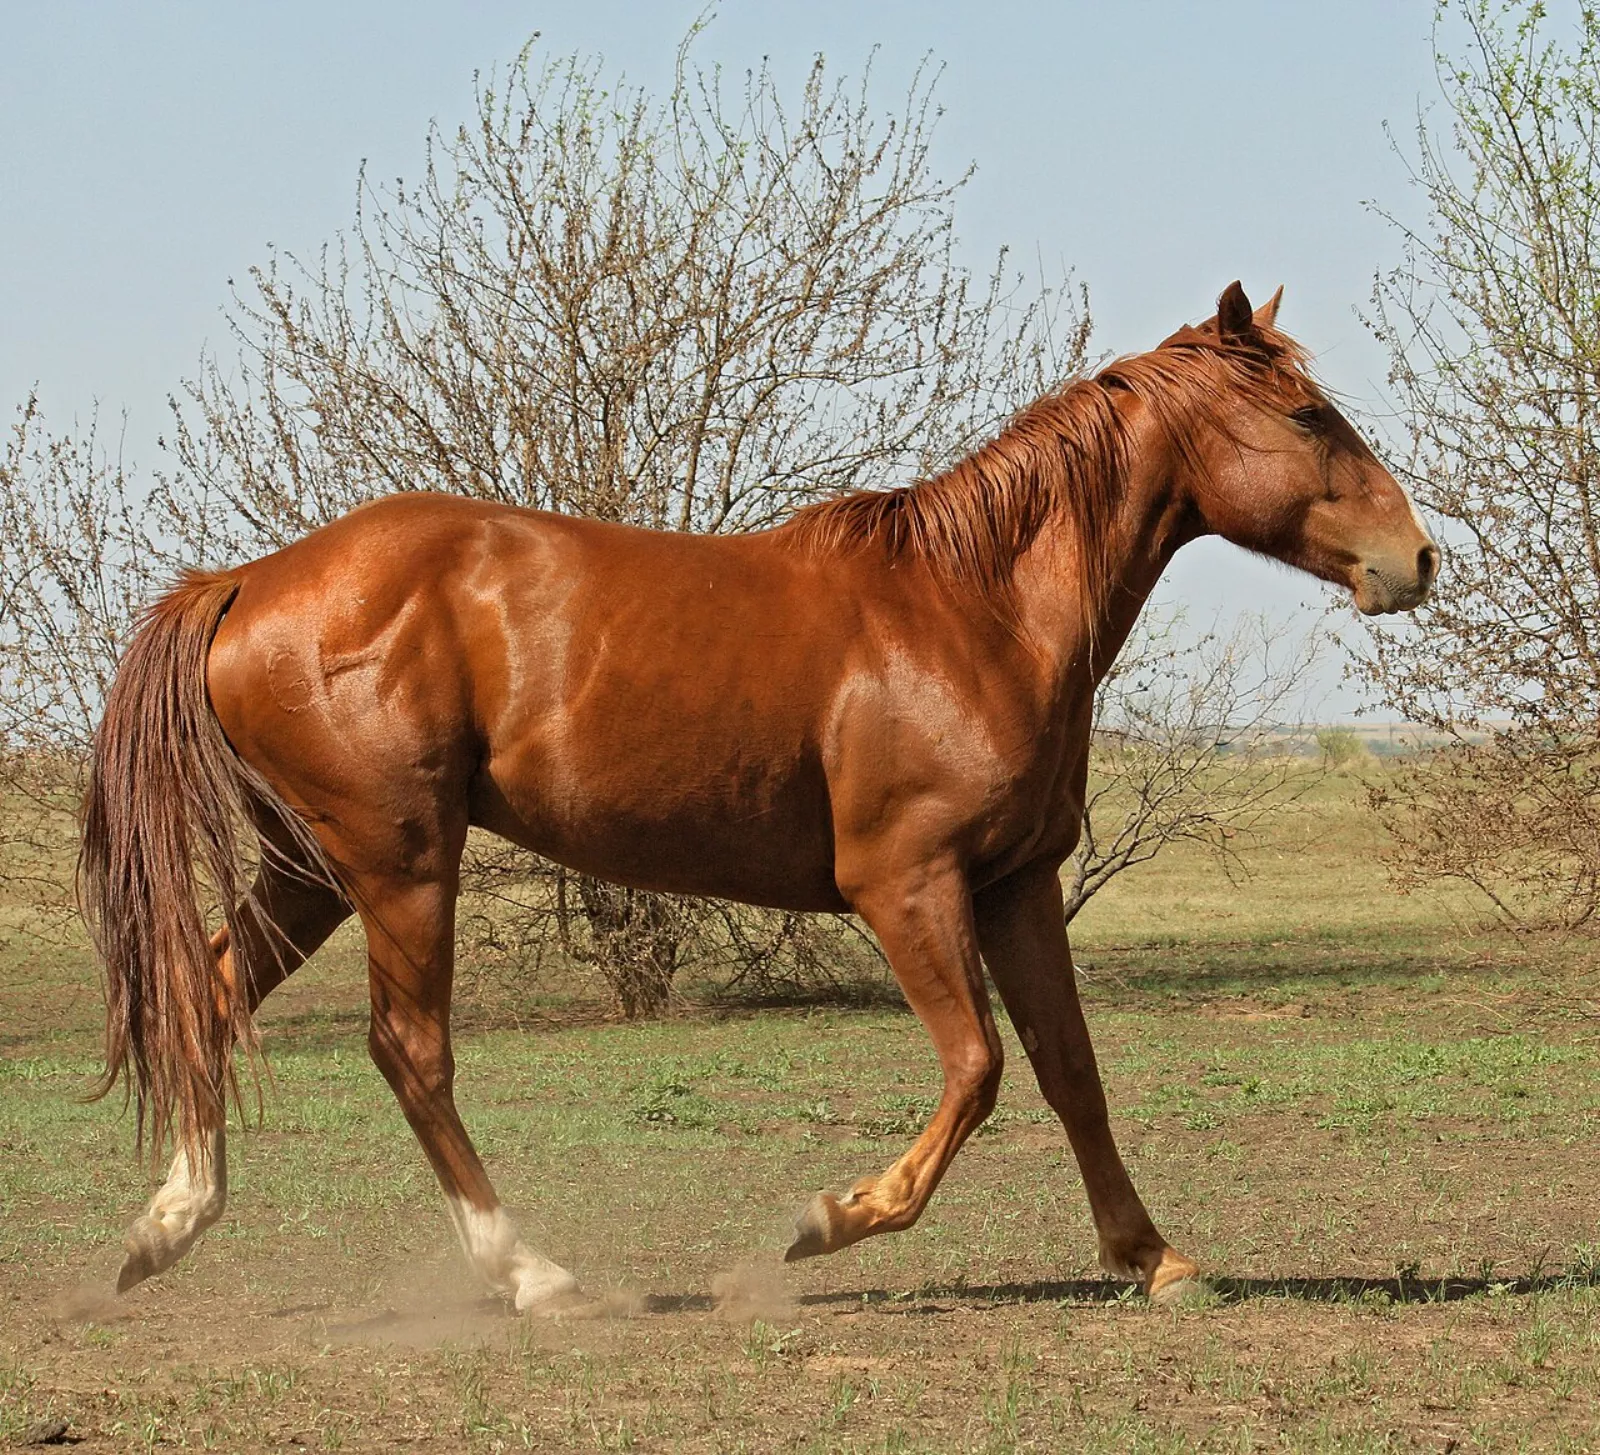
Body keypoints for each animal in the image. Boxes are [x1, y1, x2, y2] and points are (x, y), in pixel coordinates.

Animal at [81, 283, 1436, 1309]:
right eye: (1309, 414)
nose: (1415, 559)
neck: (973, 614)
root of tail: (248, 583)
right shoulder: (904, 885)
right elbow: (979, 1067)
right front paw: (833, 1217)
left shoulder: (1016, 882)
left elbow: (1069, 1070)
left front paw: (1151, 1258)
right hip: (402, 863)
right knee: (408, 1051)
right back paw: (532, 1276)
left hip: (313, 867)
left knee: (209, 992)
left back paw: (166, 1226)